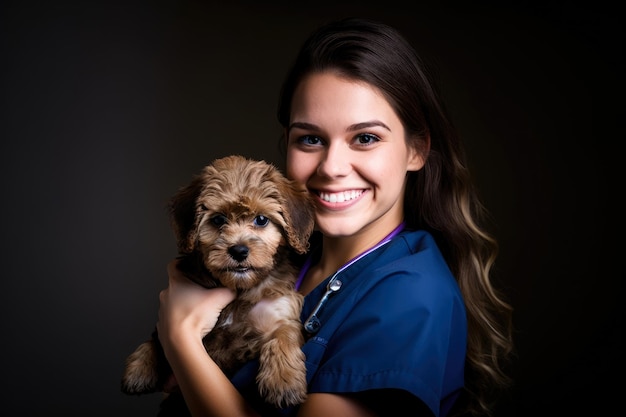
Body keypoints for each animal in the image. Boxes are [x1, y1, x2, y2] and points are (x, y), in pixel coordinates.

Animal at [121, 154, 314, 410]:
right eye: (218, 219)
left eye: (261, 220)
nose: (239, 250)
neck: (240, 289)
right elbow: (157, 337)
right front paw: (139, 368)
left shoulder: (279, 309)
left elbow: (284, 333)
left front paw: (283, 382)